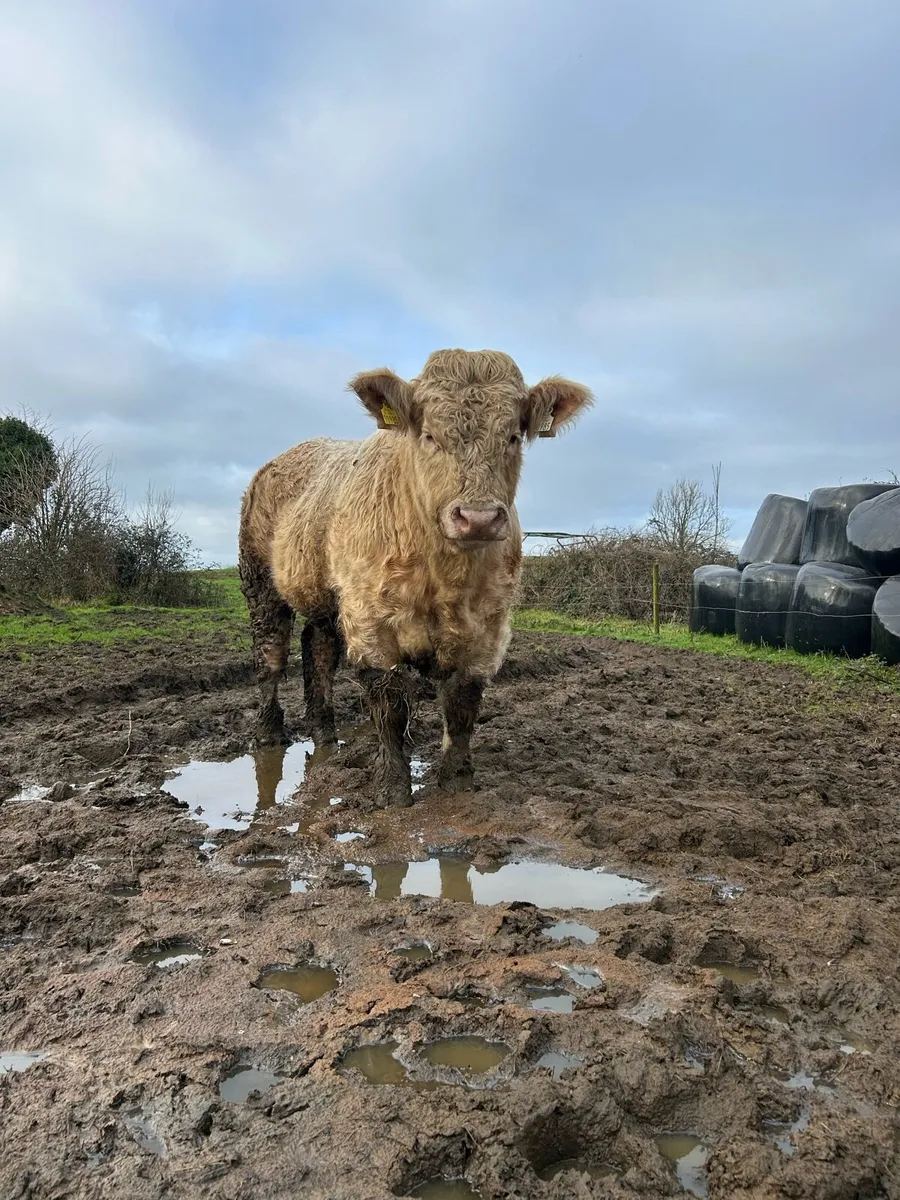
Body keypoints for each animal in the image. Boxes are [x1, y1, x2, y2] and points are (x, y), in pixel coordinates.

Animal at [238, 348, 592, 806]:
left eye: (514, 436)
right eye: (428, 436)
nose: (478, 517)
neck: (445, 577)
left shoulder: (488, 626)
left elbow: (462, 703)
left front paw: (457, 780)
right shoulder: (370, 620)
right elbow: (390, 704)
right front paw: (392, 788)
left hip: (324, 599)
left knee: (318, 652)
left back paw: (325, 732)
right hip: (260, 582)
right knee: (270, 657)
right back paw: (268, 733)